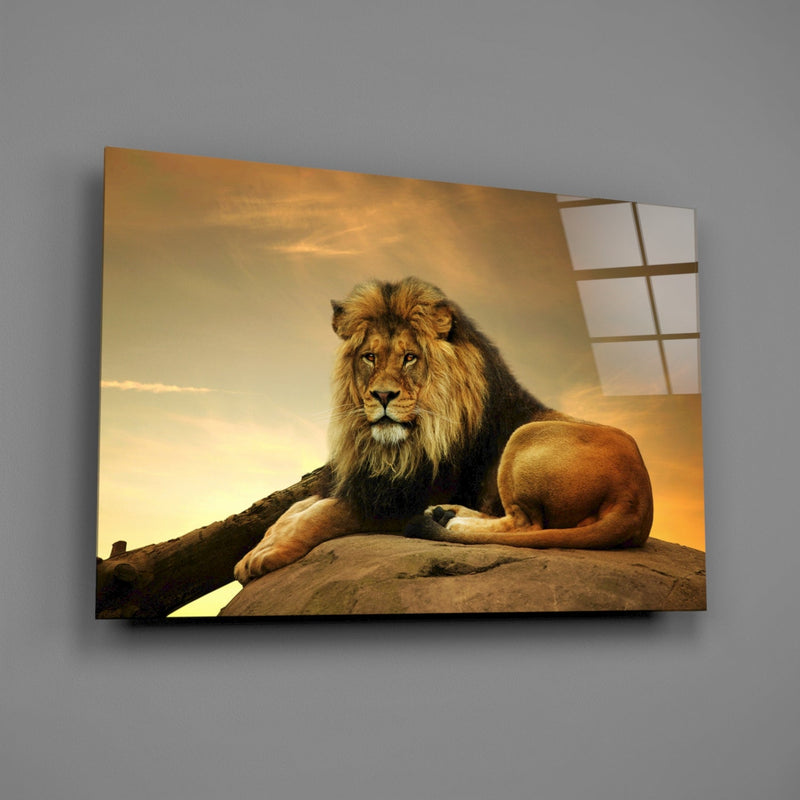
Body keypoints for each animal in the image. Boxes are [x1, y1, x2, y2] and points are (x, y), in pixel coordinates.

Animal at [234, 276, 653, 585]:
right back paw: (446, 515)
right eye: (369, 357)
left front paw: (267, 554)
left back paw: (448, 519)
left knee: (526, 524)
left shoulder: (398, 498)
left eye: (409, 357)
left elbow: (323, 514)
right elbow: (295, 509)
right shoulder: (362, 480)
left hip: (526, 436)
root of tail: (637, 500)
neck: (393, 447)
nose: (382, 395)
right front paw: (258, 547)